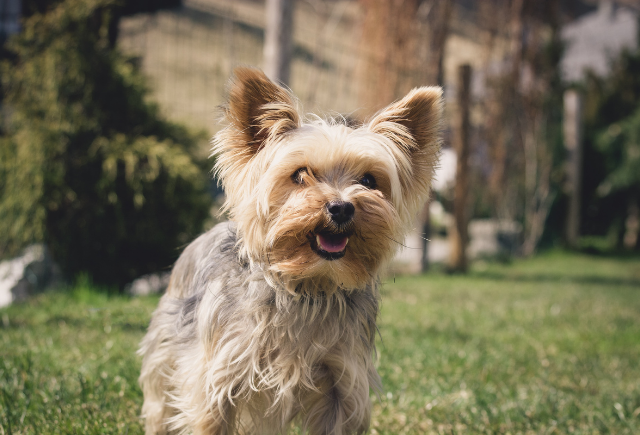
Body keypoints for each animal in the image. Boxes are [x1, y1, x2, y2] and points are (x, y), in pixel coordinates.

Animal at [138, 68, 442, 435]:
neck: (307, 286)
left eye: (369, 181)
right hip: (165, 351)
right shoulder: (216, 376)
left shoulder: (343, 383)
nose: (341, 207)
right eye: (300, 175)